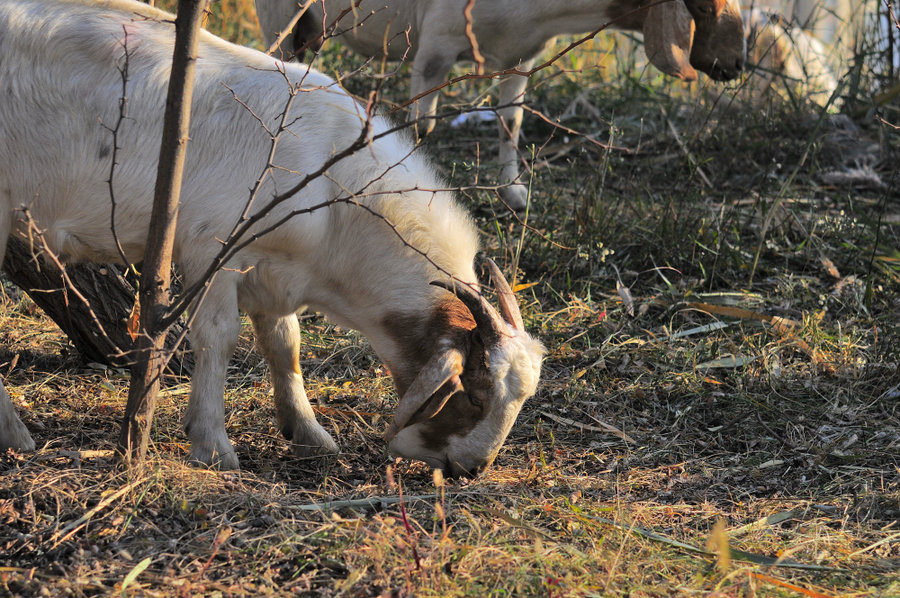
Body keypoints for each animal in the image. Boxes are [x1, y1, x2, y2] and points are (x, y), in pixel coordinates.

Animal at [0, 0, 544, 478]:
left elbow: (285, 345)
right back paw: (15, 435)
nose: (470, 468)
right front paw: (213, 446)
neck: (333, 190)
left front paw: (308, 432)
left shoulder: (278, 268)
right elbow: (219, 336)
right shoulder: (212, 249)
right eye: (475, 395)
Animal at [256, 0, 748, 213]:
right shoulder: (436, 45)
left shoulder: (522, 56)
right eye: (704, 8)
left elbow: (511, 121)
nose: (736, 65)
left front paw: (513, 192)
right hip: (284, 17)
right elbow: (423, 127)